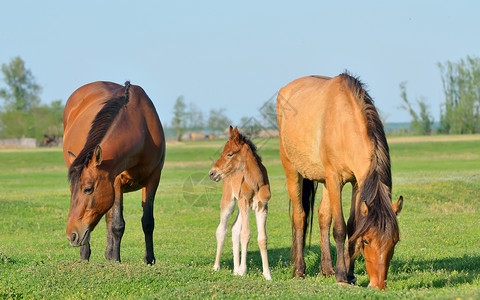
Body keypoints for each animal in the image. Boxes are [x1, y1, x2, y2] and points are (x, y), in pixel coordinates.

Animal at [63, 81, 165, 264]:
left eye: (87, 189)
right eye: (71, 190)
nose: (71, 235)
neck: (142, 129)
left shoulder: (154, 178)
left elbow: (147, 222)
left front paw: (149, 260)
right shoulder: (116, 181)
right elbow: (117, 224)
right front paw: (115, 260)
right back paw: (86, 256)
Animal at [209, 125, 272, 280]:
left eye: (229, 154)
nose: (212, 173)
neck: (256, 182)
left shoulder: (262, 207)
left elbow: (262, 238)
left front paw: (267, 275)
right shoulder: (244, 203)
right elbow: (246, 234)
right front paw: (243, 270)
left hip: (241, 207)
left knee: (234, 228)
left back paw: (235, 269)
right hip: (230, 202)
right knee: (222, 230)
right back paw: (216, 266)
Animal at [276, 71, 404, 290]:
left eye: (395, 241)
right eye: (367, 241)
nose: (378, 285)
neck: (343, 123)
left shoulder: (357, 183)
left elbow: (352, 226)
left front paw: (350, 274)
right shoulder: (335, 179)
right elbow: (340, 228)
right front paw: (342, 275)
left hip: (325, 181)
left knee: (322, 216)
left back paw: (327, 269)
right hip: (293, 171)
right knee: (300, 217)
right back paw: (300, 270)